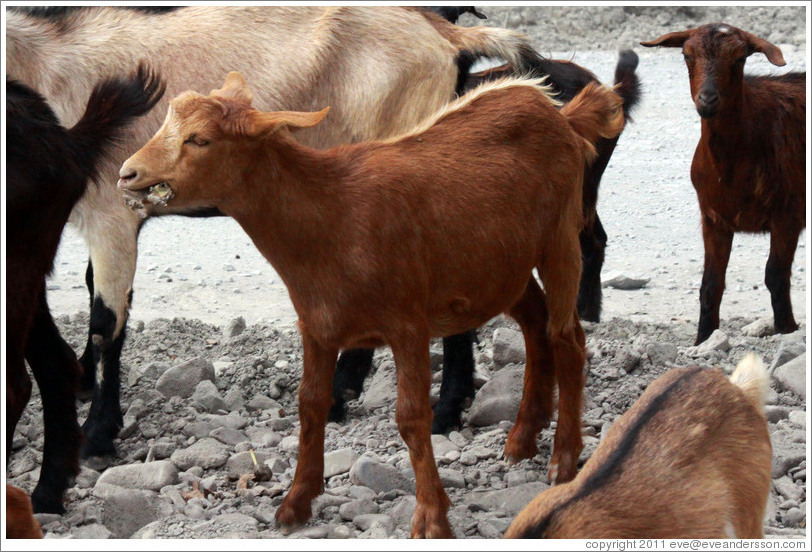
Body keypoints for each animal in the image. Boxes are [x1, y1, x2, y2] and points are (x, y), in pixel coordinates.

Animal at [116, 71, 620, 536]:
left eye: (200, 139)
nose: (128, 173)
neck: (331, 216)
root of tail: (560, 115)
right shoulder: (316, 324)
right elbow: (310, 405)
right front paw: (295, 502)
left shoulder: (408, 323)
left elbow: (412, 416)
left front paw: (431, 516)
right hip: (499, 268)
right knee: (536, 328)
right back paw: (521, 440)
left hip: (560, 239)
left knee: (568, 339)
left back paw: (563, 458)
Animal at [640, 25, 804, 344]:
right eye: (686, 55)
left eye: (740, 59)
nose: (707, 99)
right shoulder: (714, 218)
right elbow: (711, 283)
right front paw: (703, 340)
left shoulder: (787, 214)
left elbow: (776, 276)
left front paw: (787, 331)